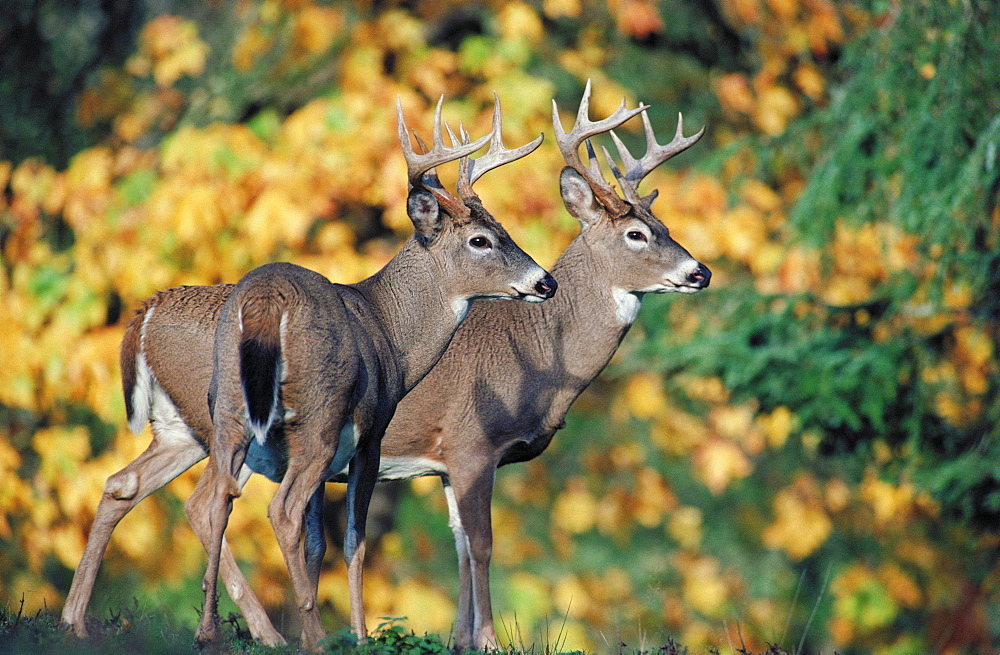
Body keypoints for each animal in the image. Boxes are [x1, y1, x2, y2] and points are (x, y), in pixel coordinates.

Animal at [59, 93, 556, 652]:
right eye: (481, 240)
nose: (546, 282)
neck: (391, 332)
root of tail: (264, 301)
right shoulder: (370, 433)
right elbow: (353, 540)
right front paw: (360, 634)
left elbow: (318, 540)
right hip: (315, 412)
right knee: (277, 509)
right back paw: (310, 635)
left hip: (223, 409)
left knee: (196, 498)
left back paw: (180, 628)